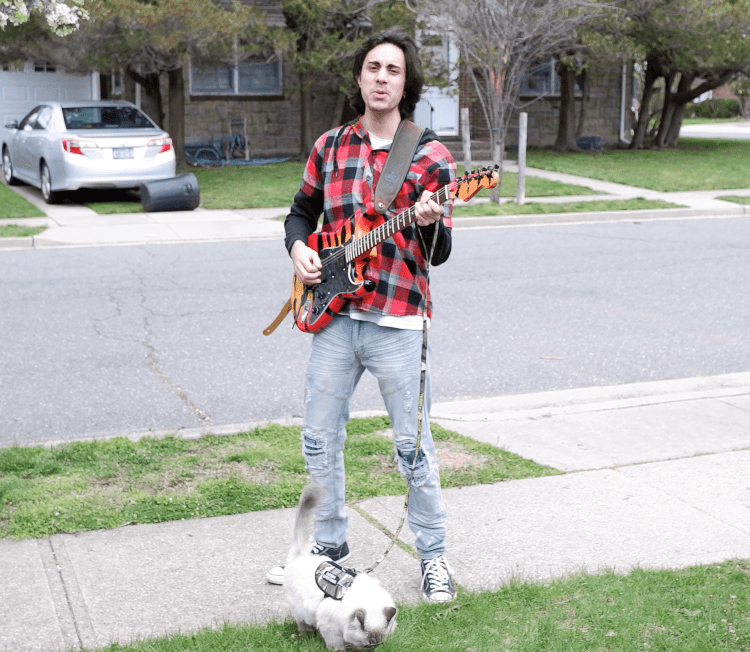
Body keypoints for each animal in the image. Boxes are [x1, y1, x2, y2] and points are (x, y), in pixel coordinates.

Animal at [284, 484, 400, 648]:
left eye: (379, 645)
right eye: (367, 645)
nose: (373, 650)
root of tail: (302, 555)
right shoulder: (329, 626)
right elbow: (336, 644)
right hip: (300, 610)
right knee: (302, 625)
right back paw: (304, 635)